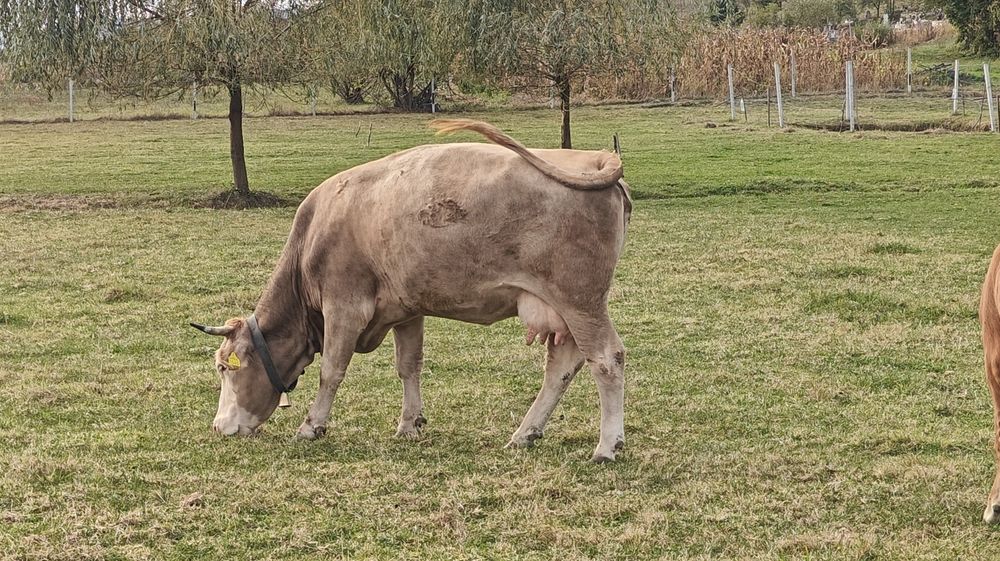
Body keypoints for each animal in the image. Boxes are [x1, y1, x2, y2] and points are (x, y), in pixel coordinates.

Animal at [191, 119, 632, 462]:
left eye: (224, 368)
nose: (218, 426)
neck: (313, 237)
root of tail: (594, 159)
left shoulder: (344, 306)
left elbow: (331, 371)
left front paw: (311, 425)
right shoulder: (406, 309)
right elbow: (409, 366)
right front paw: (409, 423)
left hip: (580, 302)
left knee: (606, 360)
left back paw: (606, 446)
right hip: (563, 310)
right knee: (562, 366)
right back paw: (525, 433)